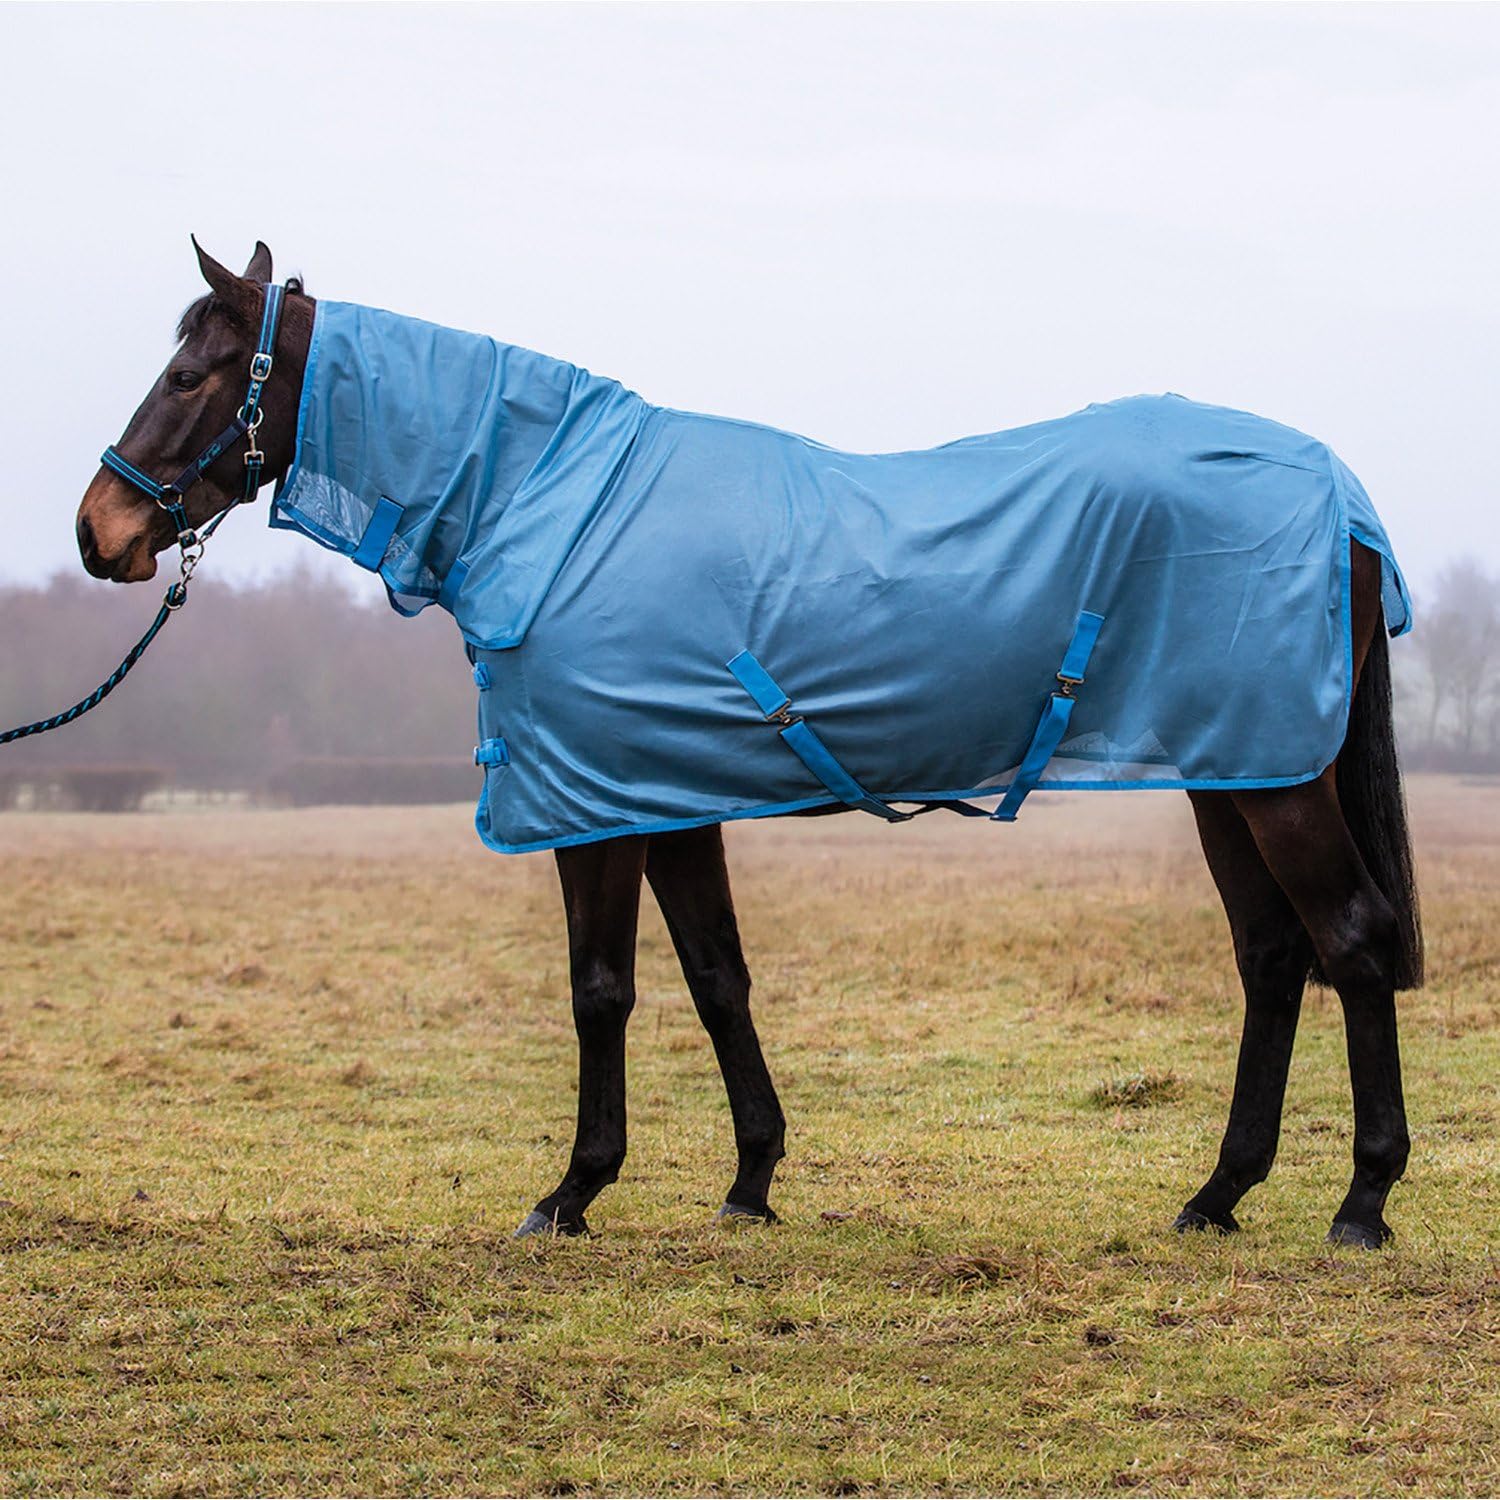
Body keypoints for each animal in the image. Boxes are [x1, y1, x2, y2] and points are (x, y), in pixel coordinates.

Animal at [76, 240, 1423, 1249]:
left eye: (192, 372)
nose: (101, 531)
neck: (556, 505)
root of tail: (1342, 498)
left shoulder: (597, 808)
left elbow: (601, 990)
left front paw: (572, 1191)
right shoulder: (664, 799)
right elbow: (718, 980)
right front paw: (752, 1183)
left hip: (1278, 782)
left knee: (1351, 941)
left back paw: (1362, 1202)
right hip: (1230, 771)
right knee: (1273, 958)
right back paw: (1218, 1195)